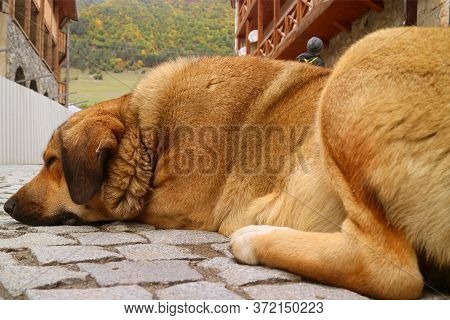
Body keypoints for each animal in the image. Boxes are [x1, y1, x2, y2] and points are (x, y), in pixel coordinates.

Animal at [4, 26, 450, 298]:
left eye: (51, 161)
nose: (6, 206)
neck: (149, 134)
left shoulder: (184, 201)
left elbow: (130, 206)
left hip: (361, 61)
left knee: (393, 272)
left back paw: (255, 239)